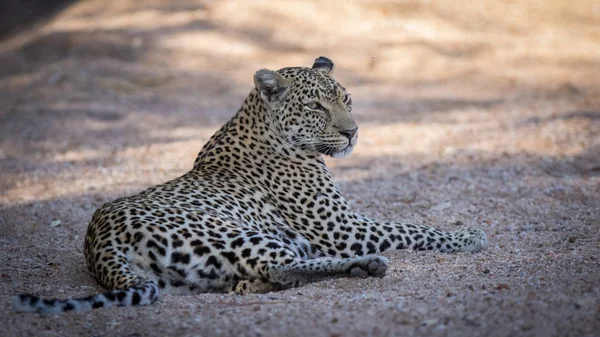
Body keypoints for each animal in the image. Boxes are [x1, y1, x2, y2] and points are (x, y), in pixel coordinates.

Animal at [11, 57, 486, 312]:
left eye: (347, 100)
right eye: (316, 106)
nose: (353, 133)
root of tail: (98, 242)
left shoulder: (342, 224)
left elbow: (410, 226)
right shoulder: (343, 228)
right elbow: (413, 228)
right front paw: (469, 235)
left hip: (195, 272)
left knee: (255, 279)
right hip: (236, 232)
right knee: (281, 265)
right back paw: (366, 265)